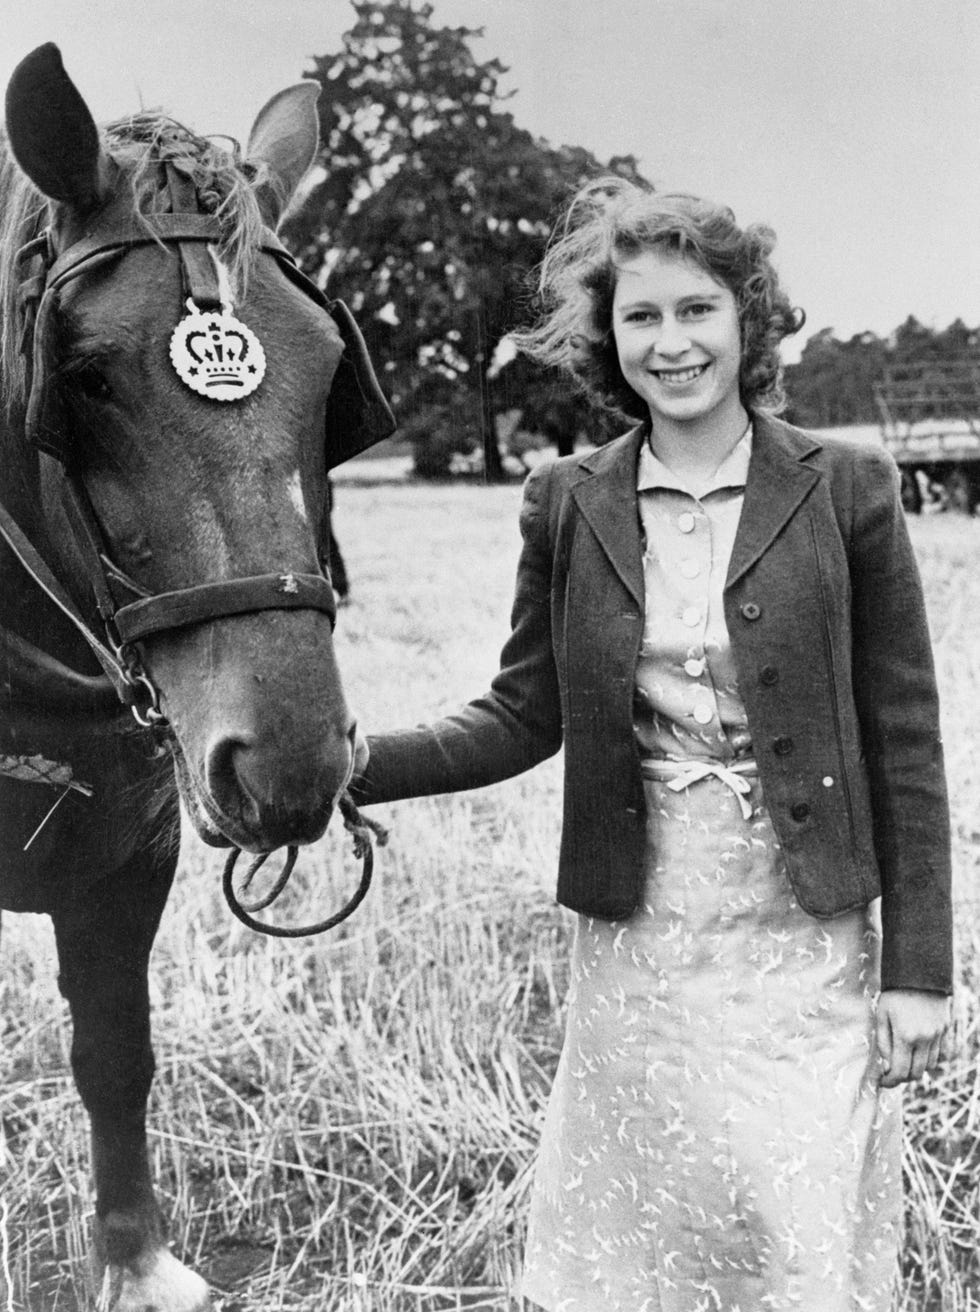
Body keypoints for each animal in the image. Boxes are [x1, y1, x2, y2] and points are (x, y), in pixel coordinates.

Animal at [0, 46, 390, 1306]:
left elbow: (116, 1052)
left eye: (330, 372)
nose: (288, 764)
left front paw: (134, 1263)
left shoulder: (131, 856)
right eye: (84, 376)